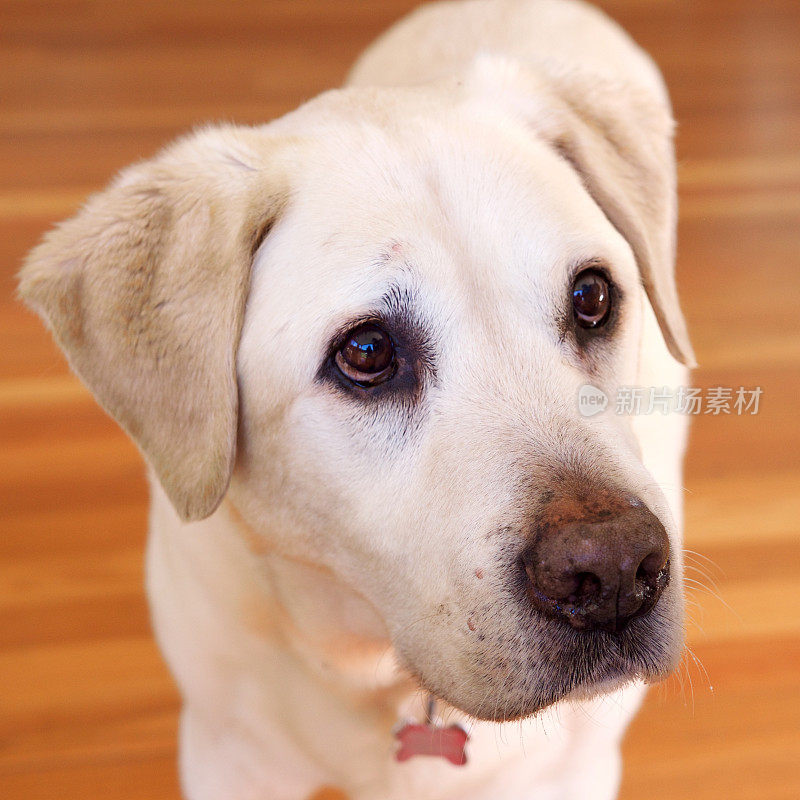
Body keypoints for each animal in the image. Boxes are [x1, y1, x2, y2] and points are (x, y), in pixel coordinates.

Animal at [18, 0, 692, 796]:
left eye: (591, 297)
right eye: (366, 353)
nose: (615, 571)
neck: (370, 661)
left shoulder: (569, 767)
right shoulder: (230, 753)